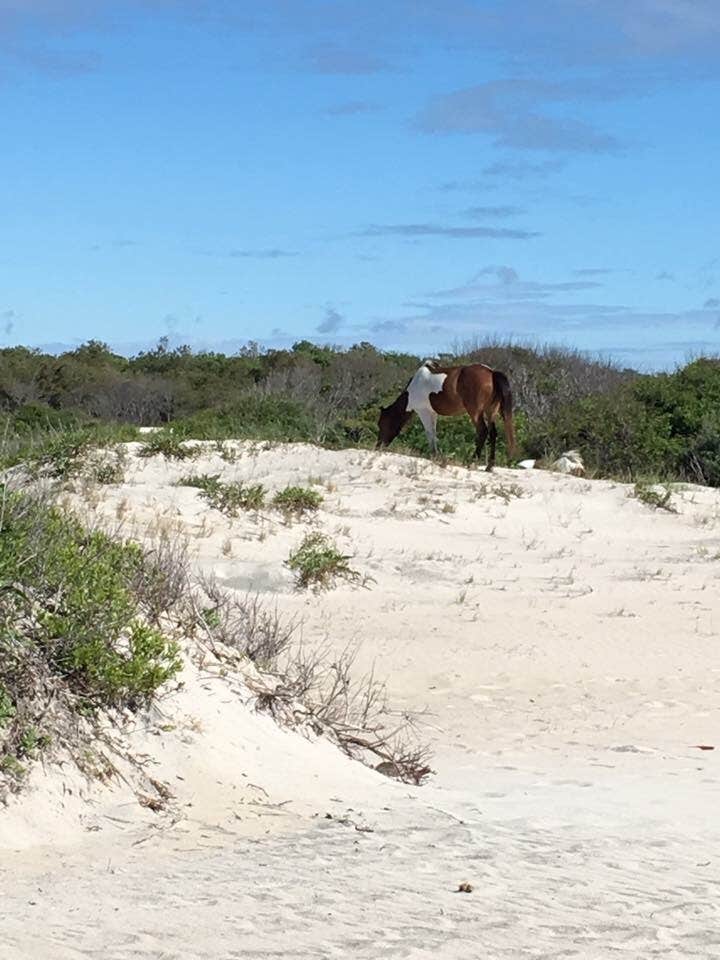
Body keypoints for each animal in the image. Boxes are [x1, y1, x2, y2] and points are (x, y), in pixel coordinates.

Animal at [376, 360, 516, 471]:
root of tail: (491, 373)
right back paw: (489, 466)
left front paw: (434, 455)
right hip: (490, 411)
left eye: (381, 424)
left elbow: (429, 433)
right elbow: (434, 433)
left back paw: (472, 463)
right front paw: (436, 455)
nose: (378, 447)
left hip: (475, 412)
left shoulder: (424, 412)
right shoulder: (432, 413)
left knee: (483, 431)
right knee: (493, 433)